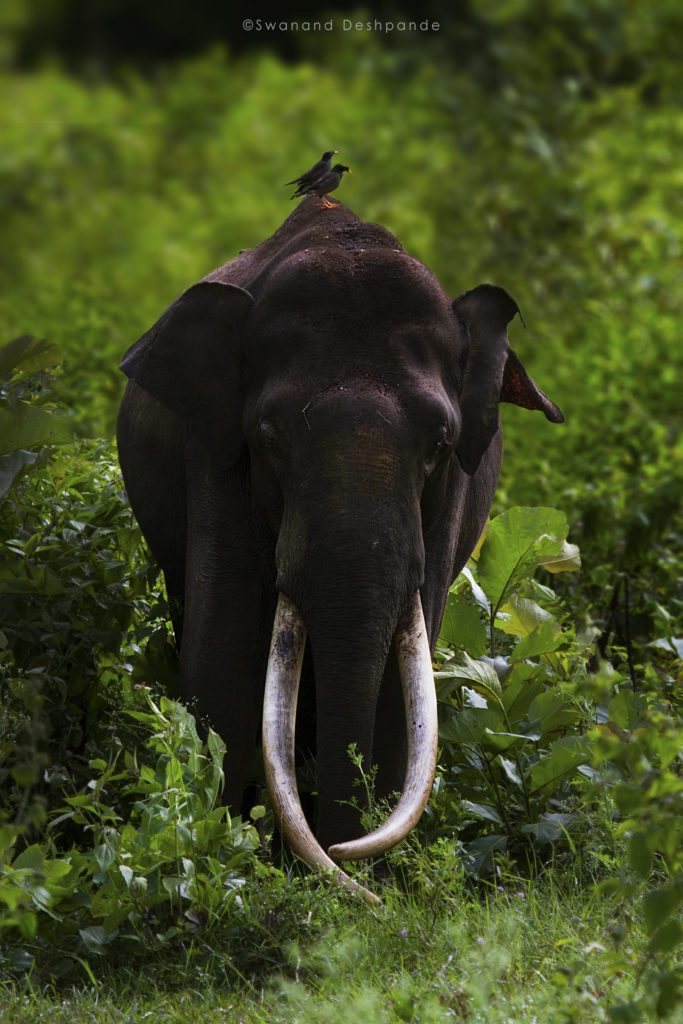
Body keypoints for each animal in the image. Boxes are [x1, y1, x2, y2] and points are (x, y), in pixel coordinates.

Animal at [117, 195, 565, 901]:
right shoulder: (214, 455)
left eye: (440, 442)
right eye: (269, 437)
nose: (344, 863)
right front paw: (237, 864)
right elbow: (221, 659)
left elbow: (395, 692)